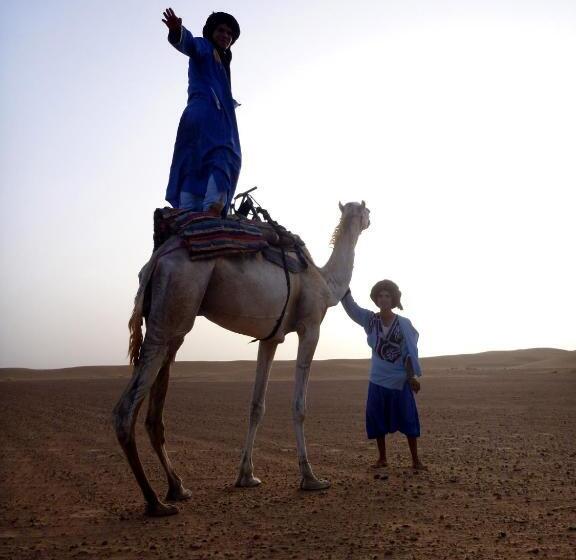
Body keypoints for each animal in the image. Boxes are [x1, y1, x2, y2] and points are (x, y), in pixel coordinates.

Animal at [113, 201, 368, 516]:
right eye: (365, 211)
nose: (370, 219)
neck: (325, 281)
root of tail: (158, 258)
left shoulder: (270, 338)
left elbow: (256, 405)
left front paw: (246, 476)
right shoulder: (310, 327)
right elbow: (299, 406)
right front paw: (311, 478)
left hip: (168, 317)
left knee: (154, 412)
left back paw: (177, 488)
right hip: (175, 300)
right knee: (126, 409)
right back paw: (154, 502)